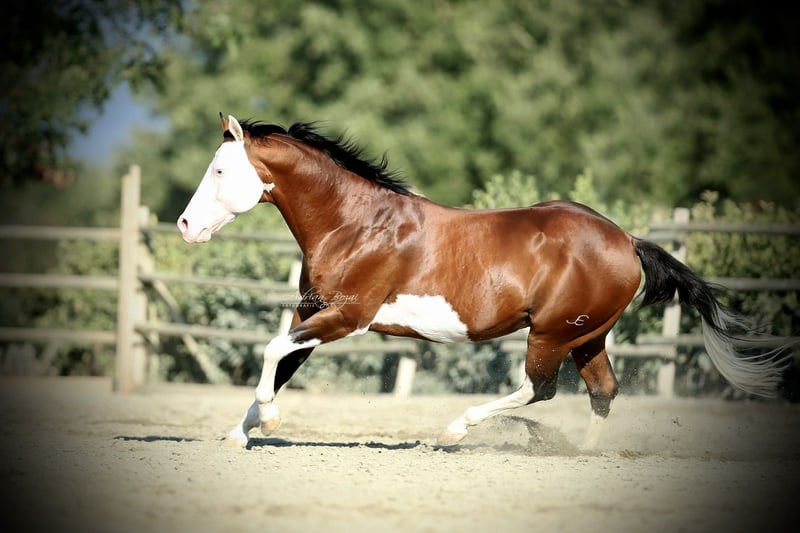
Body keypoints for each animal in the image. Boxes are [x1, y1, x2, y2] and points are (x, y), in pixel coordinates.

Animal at [177, 113, 789, 449]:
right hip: (587, 336)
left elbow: (271, 350)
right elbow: (281, 361)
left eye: (220, 171)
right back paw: (578, 454)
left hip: (551, 333)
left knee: (539, 388)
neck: (356, 224)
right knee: (603, 391)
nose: (185, 225)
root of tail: (627, 240)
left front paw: (267, 420)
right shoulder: (312, 311)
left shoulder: (348, 317)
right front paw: (238, 433)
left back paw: (455, 431)